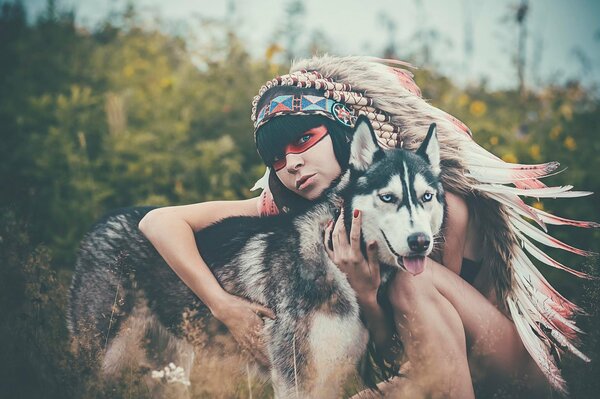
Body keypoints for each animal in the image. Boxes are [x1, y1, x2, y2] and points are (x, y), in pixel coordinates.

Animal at [69, 117, 446, 398]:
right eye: (388, 197)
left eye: (426, 197)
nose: (420, 242)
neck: (332, 259)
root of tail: (102, 222)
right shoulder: (296, 378)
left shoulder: (331, 374)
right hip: (102, 354)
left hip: (170, 368)